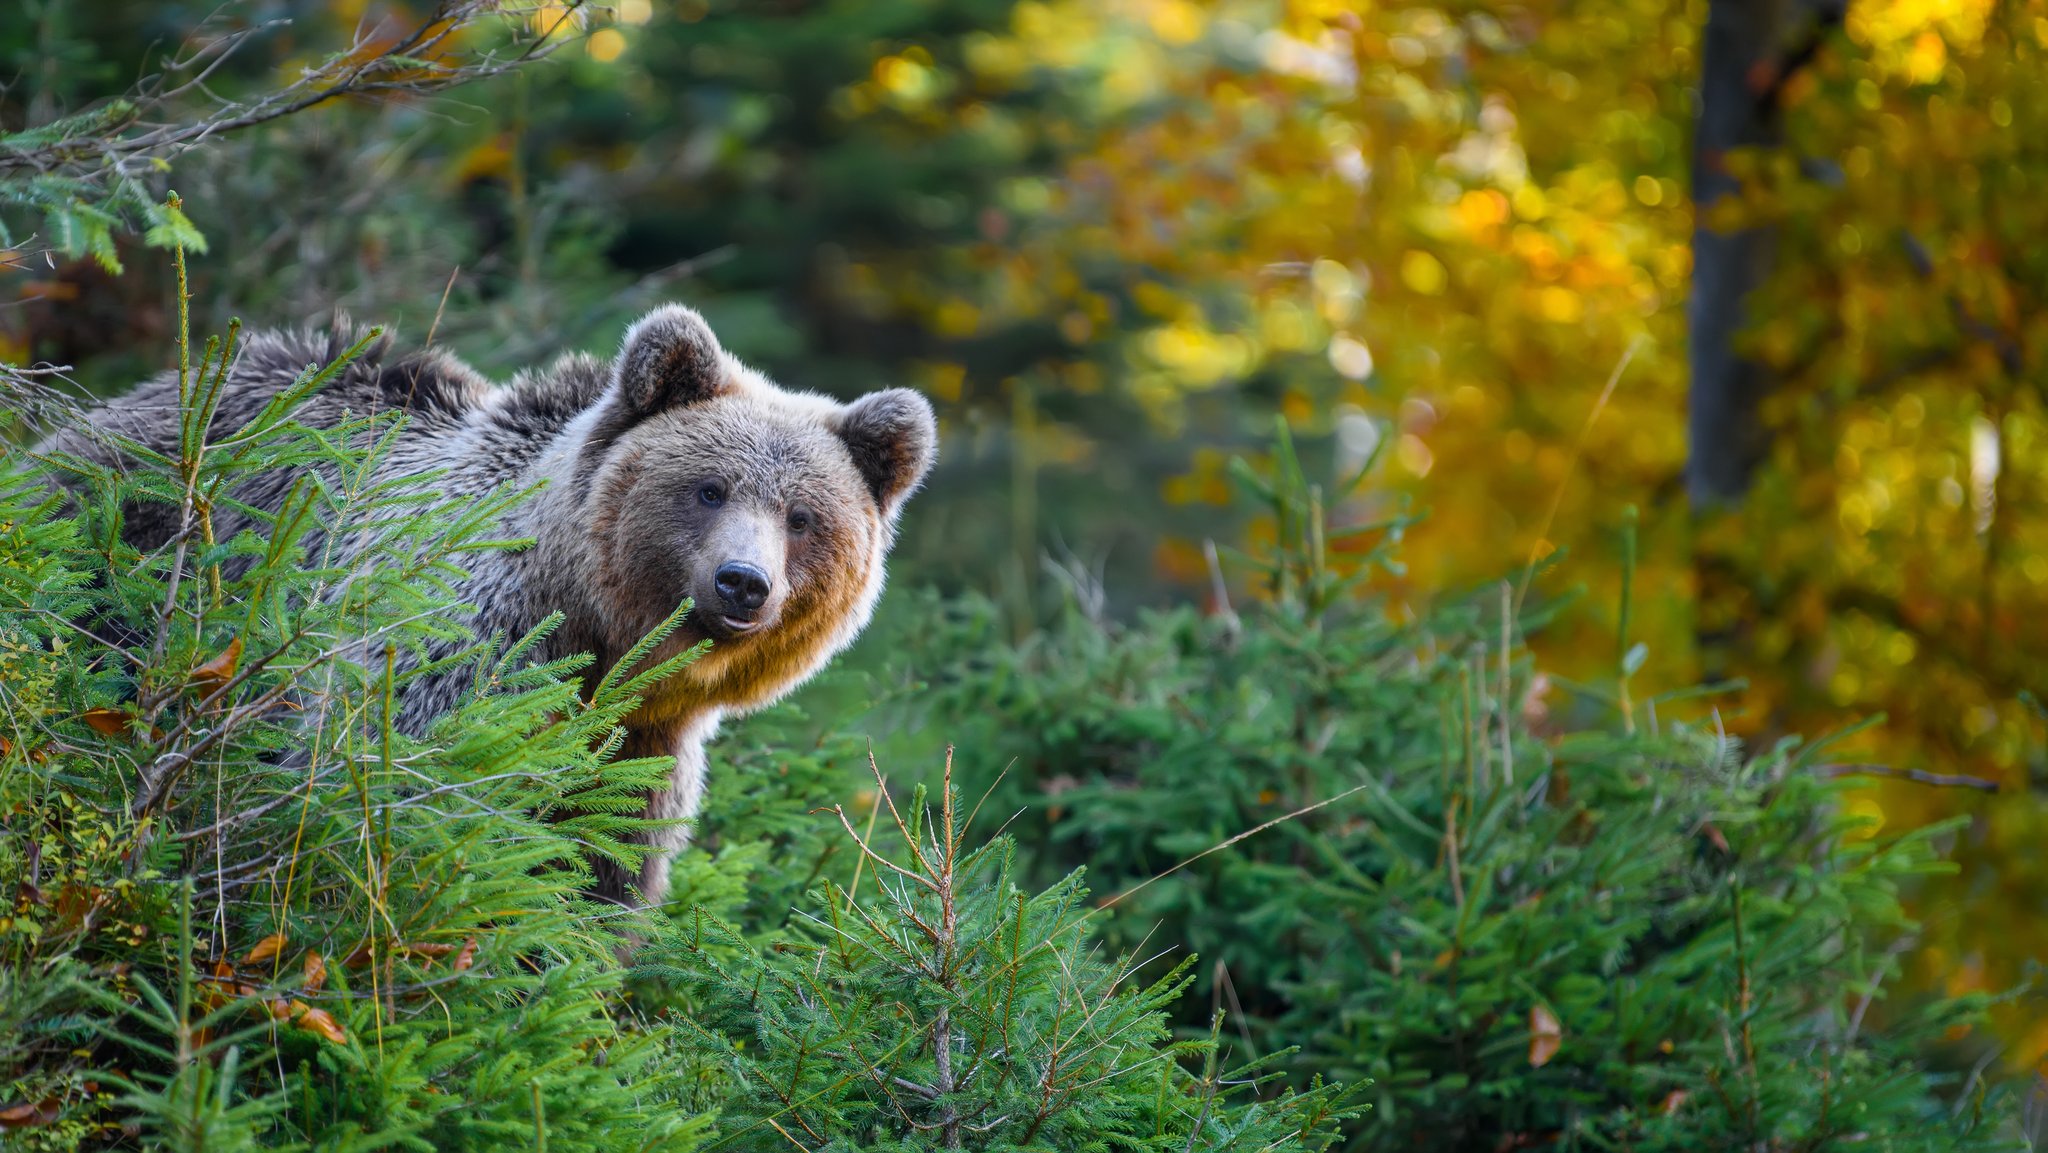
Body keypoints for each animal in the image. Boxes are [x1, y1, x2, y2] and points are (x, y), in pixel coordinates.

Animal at [38, 305, 936, 908]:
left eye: (803, 516)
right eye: (710, 487)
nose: (743, 581)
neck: (590, 632)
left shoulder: (635, 747)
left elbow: (596, 870)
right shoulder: (458, 659)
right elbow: (407, 811)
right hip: (130, 554)